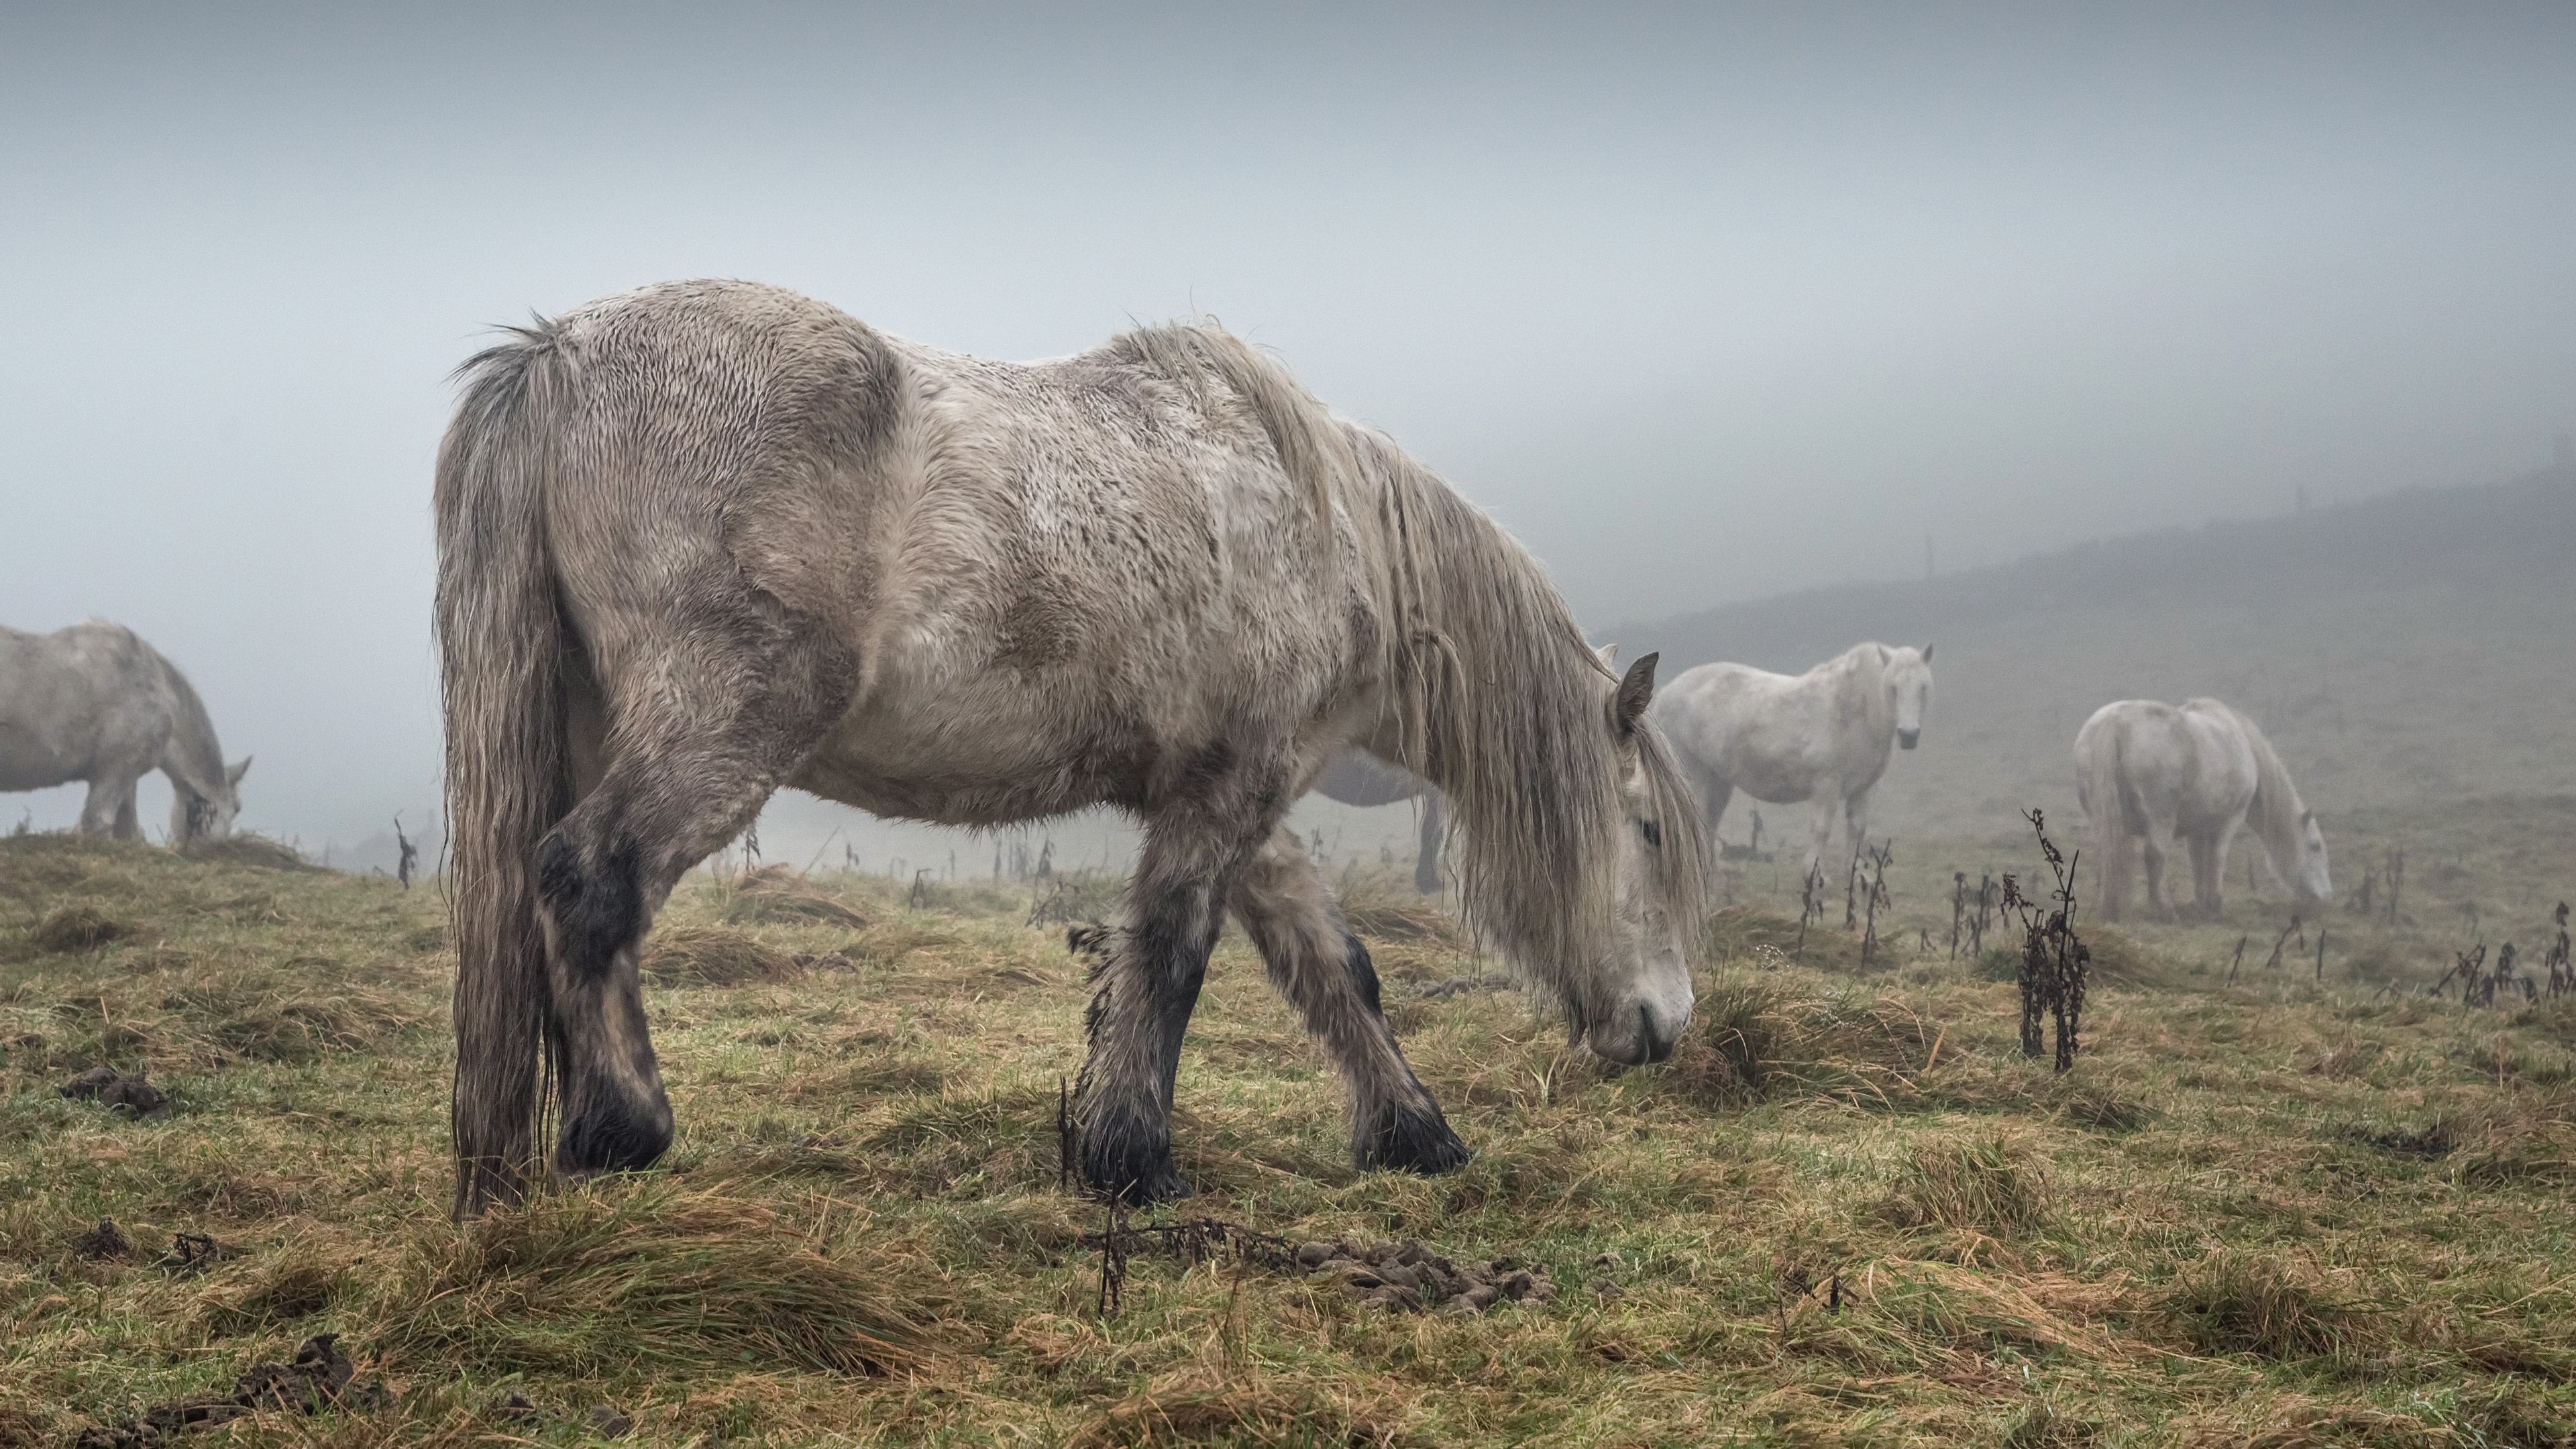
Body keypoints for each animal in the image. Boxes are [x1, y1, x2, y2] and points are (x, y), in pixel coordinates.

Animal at [1647, 643, 1933, 879]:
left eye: (1923, 687)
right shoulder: (1826, 784)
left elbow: (1857, 828)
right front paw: (1815, 874)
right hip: (1695, 774)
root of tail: (1666, 694)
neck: (1855, 711)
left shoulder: (1864, 788)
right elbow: (1821, 828)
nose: (1909, 735)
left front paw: (1857, 875)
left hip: (1719, 779)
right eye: (1893, 688)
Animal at [2074, 697, 2328, 921]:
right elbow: (2217, 858)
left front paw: (2200, 903)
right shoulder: (2230, 821)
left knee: (2107, 853)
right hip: (2161, 818)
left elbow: (2198, 862)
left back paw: (2111, 908)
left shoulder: (2196, 829)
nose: (2326, 896)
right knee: (2155, 856)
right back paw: (2165, 911)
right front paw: (2214, 905)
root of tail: (2113, 722)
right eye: (2315, 846)